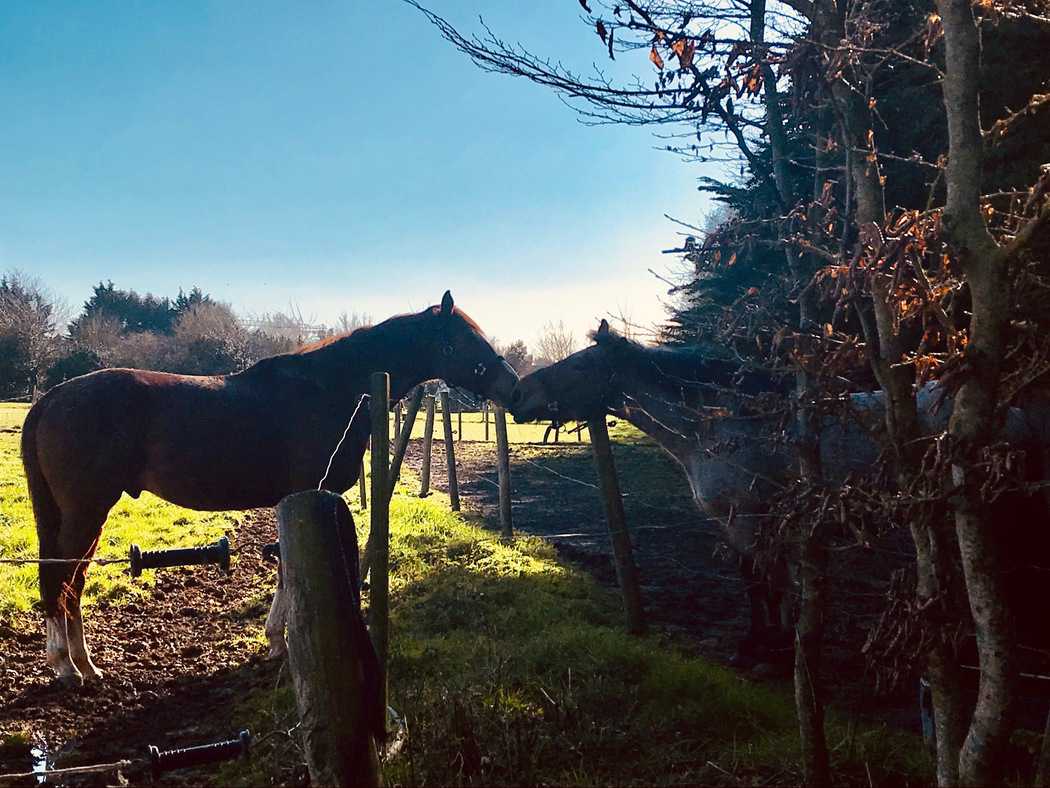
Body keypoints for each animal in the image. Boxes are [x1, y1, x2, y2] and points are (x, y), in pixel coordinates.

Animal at [22, 291, 518, 686]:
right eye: (465, 339)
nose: (512, 386)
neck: (330, 389)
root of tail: (52, 398)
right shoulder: (305, 494)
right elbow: (285, 570)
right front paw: (282, 642)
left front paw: (276, 639)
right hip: (86, 511)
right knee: (60, 580)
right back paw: (66, 667)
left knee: (72, 583)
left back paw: (85, 665)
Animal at [509, 319, 1050, 659]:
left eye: (579, 366)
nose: (515, 394)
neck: (719, 426)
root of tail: (1015, 410)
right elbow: (775, 582)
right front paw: (786, 636)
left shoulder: (747, 520)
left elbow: (758, 582)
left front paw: (759, 646)